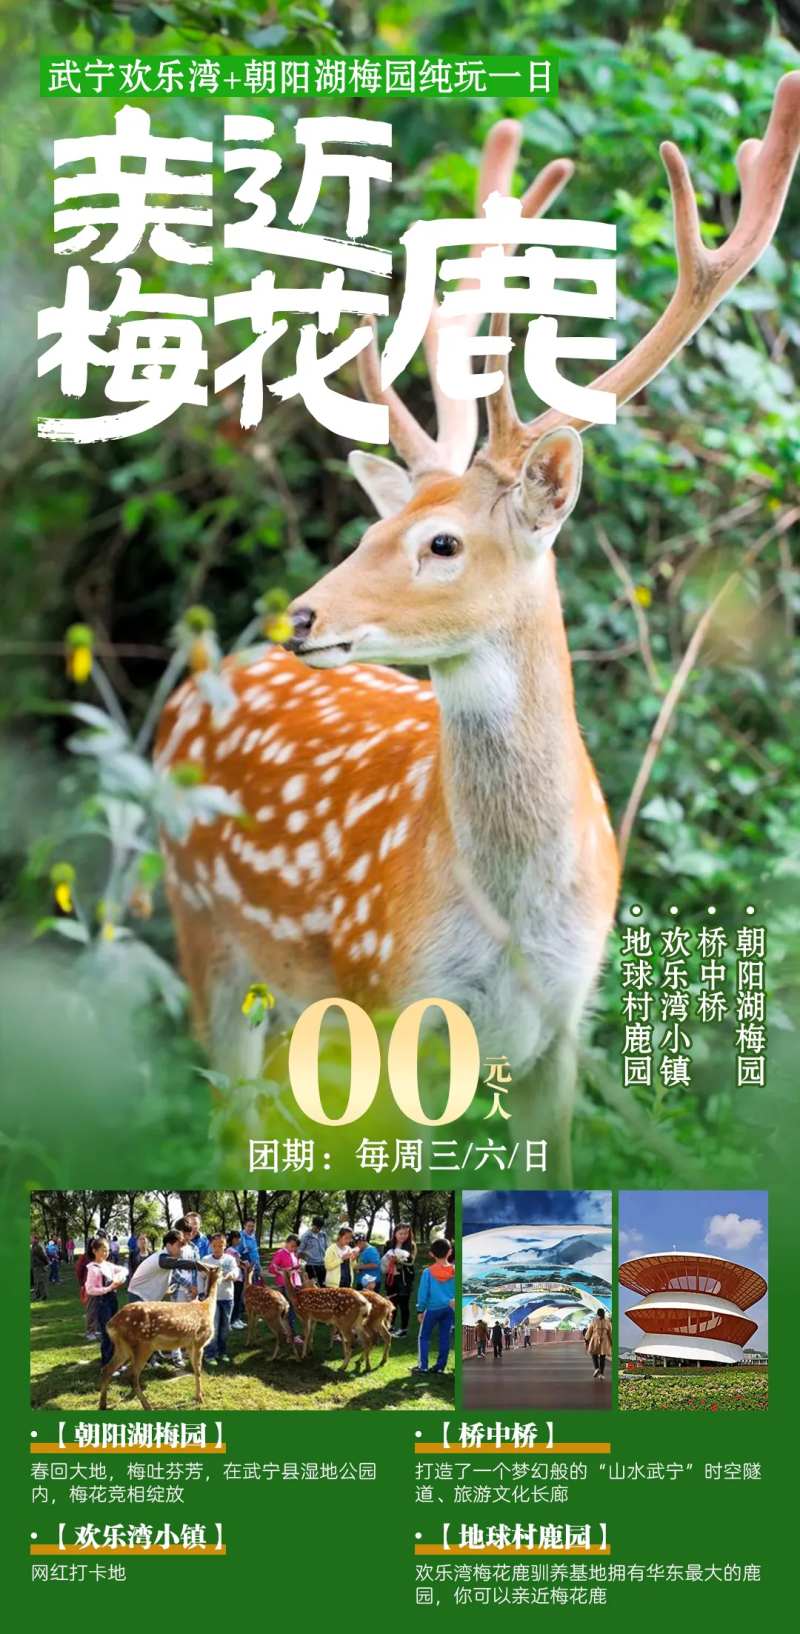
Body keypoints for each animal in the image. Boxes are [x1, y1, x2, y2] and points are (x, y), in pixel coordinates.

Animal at [98, 1265, 220, 1410]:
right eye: (221, 1269)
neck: (207, 1307)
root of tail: (111, 1324)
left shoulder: (189, 1345)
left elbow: (195, 1369)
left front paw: (198, 1396)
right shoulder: (199, 1341)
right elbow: (198, 1371)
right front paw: (200, 1398)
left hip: (123, 1347)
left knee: (107, 1369)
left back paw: (103, 1404)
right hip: (142, 1345)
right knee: (132, 1375)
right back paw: (147, 1406)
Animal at [157, 78, 800, 1182]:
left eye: (442, 542)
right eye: (372, 528)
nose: (301, 614)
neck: (513, 928)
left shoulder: (564, 1029)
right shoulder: (392, 1004)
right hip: (207, 935)